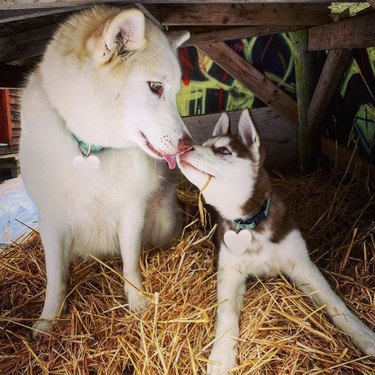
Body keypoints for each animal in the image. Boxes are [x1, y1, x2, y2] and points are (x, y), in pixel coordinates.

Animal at [19, 5, 192, 334]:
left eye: (177, 91)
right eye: (155, 87)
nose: (188, 145)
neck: (89, 148)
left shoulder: (131, 211)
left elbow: (131, 263)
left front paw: (137, 302)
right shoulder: (51, 219)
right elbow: (55, 277)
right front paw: (48, 320)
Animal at [178, 109, 375, 375]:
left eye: (223, 150)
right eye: (206, 144)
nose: (182, 147)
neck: (250, 223)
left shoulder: (302, 264)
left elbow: (335, 304)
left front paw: (364, 335)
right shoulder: (230, 272)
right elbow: (226, 314)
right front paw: (221, 358)